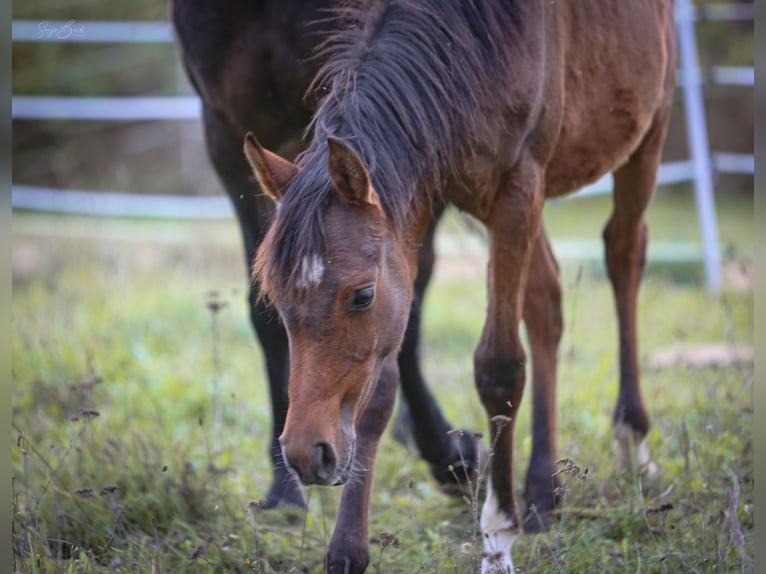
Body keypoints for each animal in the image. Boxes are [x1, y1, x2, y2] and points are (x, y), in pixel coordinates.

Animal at [171, 0, 482, 510]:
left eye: (362, 297)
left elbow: (407, 308)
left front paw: (450, 459)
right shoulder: (228, 133)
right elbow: (266, 318)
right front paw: (283, 489)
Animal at [245, 0, 677, 571]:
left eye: (361, 295)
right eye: (278, 302)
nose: (304, 452)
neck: (470, 42)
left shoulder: (517, 188)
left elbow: (499, 366)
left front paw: (498, 537)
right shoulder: (423, 205)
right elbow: (381, 385)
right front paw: (347, 549)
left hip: (647, 135)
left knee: (624, 253)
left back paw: (631, 441)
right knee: (546, 302)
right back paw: (543, 493)